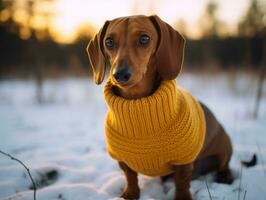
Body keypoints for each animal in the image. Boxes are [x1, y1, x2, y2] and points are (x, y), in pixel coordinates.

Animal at [87, 14, 239, 199]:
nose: (120, 75)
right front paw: (130, 193)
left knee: (224, 165)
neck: (138, 104)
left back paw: (225, 176)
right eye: (108, 42)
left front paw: (182, 197)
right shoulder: (122, 159)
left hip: (224, 147)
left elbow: (182, 182)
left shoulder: (183, 160)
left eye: (144, 39)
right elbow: (130, 175)